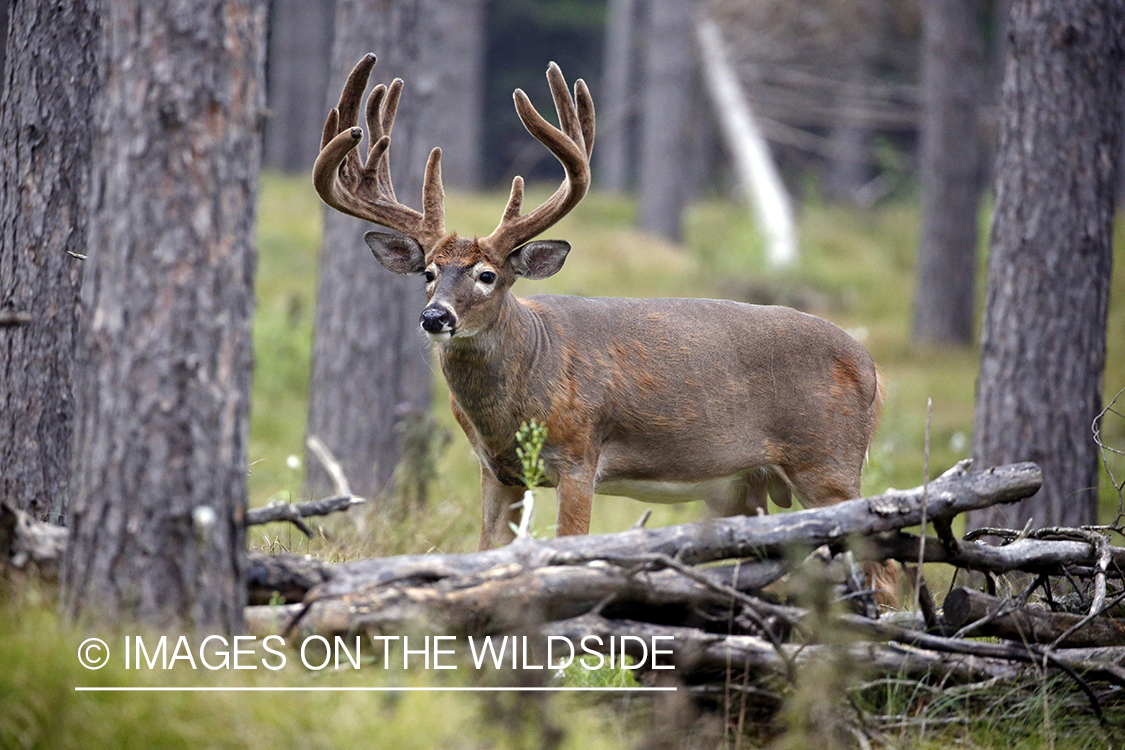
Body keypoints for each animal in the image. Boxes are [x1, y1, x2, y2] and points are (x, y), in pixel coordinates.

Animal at [315, 54, 886, 575]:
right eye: (428, 273)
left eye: (488, 275)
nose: (436, 318)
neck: (525, 380)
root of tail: (871, 367)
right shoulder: (497, 471)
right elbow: (486, 552)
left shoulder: (579, 453)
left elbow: (569, 547)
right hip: (750, 487)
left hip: (827, 460)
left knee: (884, 565)